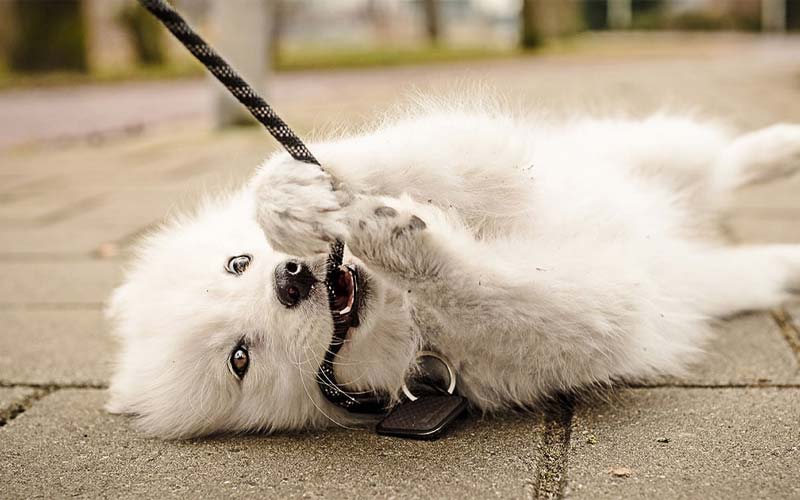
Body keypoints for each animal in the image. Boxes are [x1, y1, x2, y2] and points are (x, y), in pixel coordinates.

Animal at [106, 105, 800, 438]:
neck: (399, 311)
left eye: (238, 262)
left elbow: (426, 160)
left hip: (647, 151)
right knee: (744, 233)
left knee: (721, 161)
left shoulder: (490, 161)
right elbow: (495, 292)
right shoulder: (591, 318)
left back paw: (782, 145)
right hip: (719, 277)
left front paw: (296, 196)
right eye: (240, 358)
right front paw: (403, 243)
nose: (291, 279)